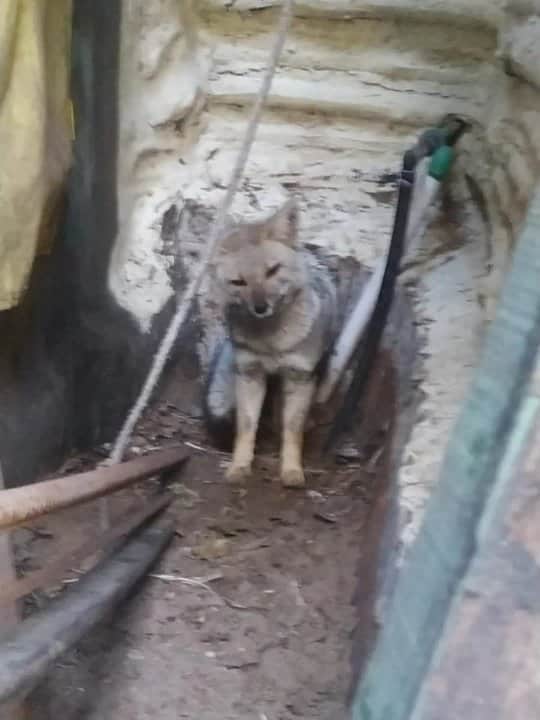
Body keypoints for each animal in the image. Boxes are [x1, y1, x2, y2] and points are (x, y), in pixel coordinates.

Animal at [204, 199, 337, 488]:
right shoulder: (249, 373)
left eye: (272, 270)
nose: (260, 307)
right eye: (239, 282)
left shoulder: (300, 377)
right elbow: (245, 427)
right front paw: (239, 466)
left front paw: (292, 470)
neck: (272, 343)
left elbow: (293, 430)